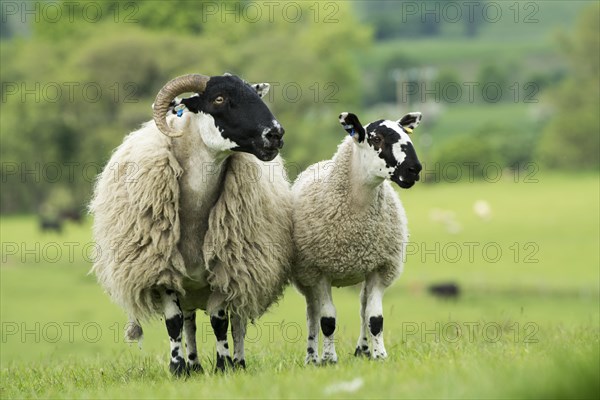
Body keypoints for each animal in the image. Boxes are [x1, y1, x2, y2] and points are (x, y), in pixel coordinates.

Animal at [89, 73, 292, 376]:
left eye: (255, 95)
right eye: (218, 98)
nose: (275, 134)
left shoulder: (224, 269)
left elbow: (220, 321)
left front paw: (224, 365)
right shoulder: (163, 271)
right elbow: (174, 323)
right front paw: (178, 368)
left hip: (243, 272)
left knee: (238, 321)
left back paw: (239, 362)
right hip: (188, 287)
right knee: (189, 323)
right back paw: (194, 366)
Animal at [292, 109, 424, 362]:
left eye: (407, 135)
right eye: (376, 139)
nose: (414, 169)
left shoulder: (380, 268)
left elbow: (374, 318)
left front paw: (380, 355)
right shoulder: (320, 271)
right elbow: (327, 320)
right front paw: (329, 359)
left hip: (364, 268)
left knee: (363, 307)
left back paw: (362, 350)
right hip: (307, 276)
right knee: (312, 313)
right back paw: (312, 357)